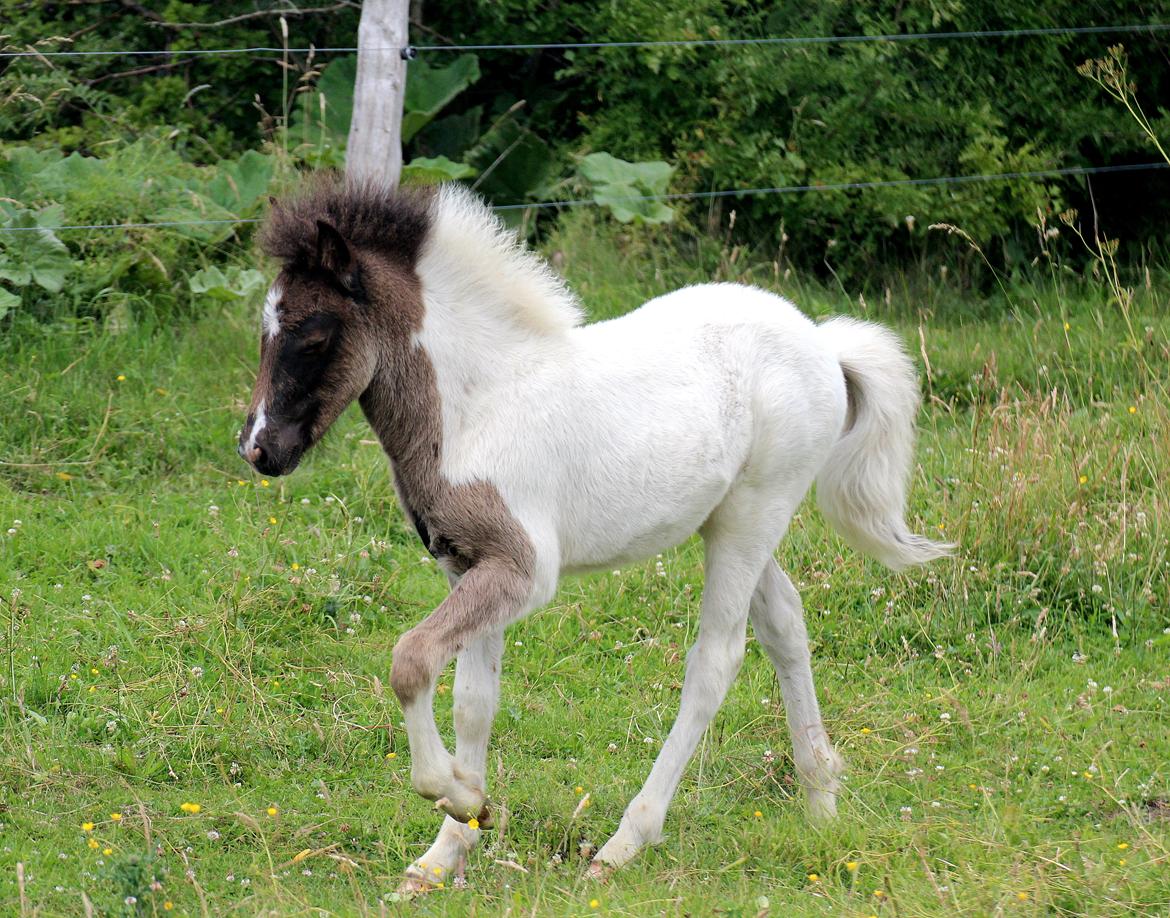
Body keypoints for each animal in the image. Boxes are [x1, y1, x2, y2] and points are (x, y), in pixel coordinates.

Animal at [237, 178, 950, 888]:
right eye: (264, 331)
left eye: (313, 334)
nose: (259, 450)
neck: (479, 405)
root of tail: (823, 344)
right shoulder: (467, 565)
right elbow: (473, 699)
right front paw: (447, 850)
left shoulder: (524, 571)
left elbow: (411, 661)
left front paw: (460, 797)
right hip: (730, 520)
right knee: (785, 625)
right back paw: (821, 804)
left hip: (754, 513)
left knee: (716, 660)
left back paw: (625, 843)